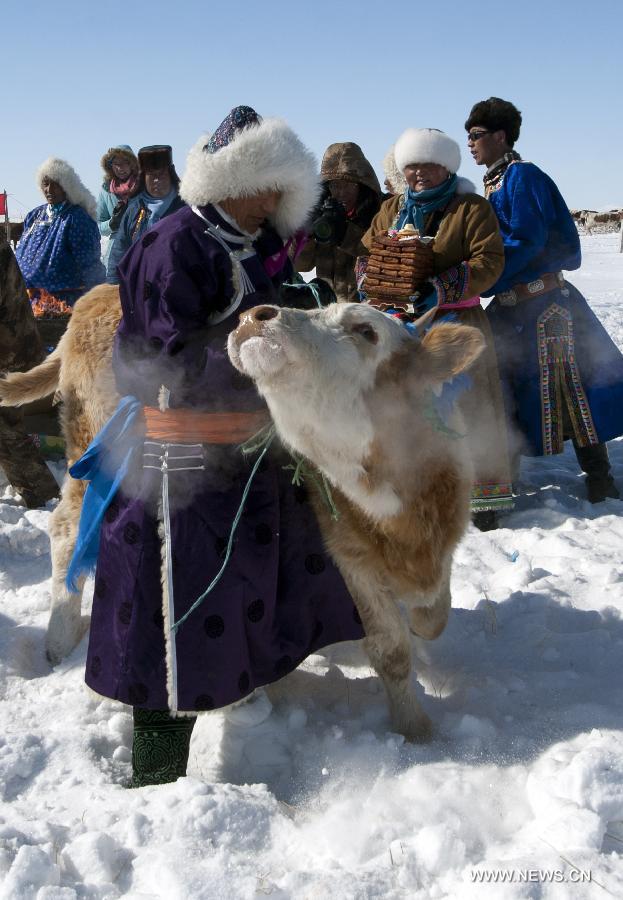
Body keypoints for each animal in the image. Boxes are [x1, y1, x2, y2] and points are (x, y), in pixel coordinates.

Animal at [227, 302, 486, 740]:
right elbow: (391, 649)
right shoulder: (351, 566)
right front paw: (414, 728)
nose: (253, 314)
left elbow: (435, 616)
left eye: (366, 331)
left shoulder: (446, 543)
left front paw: (422, 624)